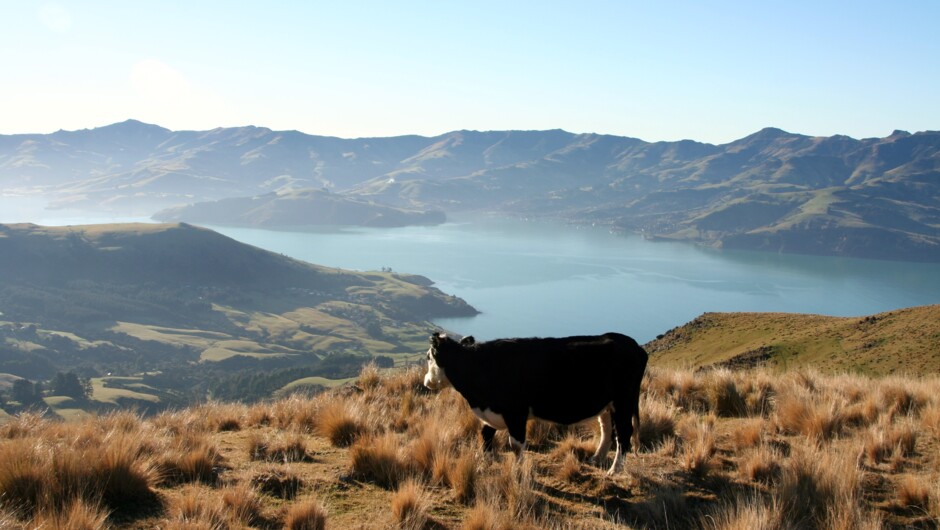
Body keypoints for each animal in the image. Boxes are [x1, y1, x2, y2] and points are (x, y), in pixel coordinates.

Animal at [424, 332, 648, 472]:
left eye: (428, 357)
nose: (426, 382)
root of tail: (634, 345)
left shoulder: (515, 413)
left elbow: (515, 445)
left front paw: (518, 470)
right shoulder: (493, 411)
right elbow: (485, 435)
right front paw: (484, 463)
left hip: (624, 401)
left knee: (624, 433)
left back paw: (614, 470)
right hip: (607, 404)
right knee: (607, 428)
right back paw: (597, 458)